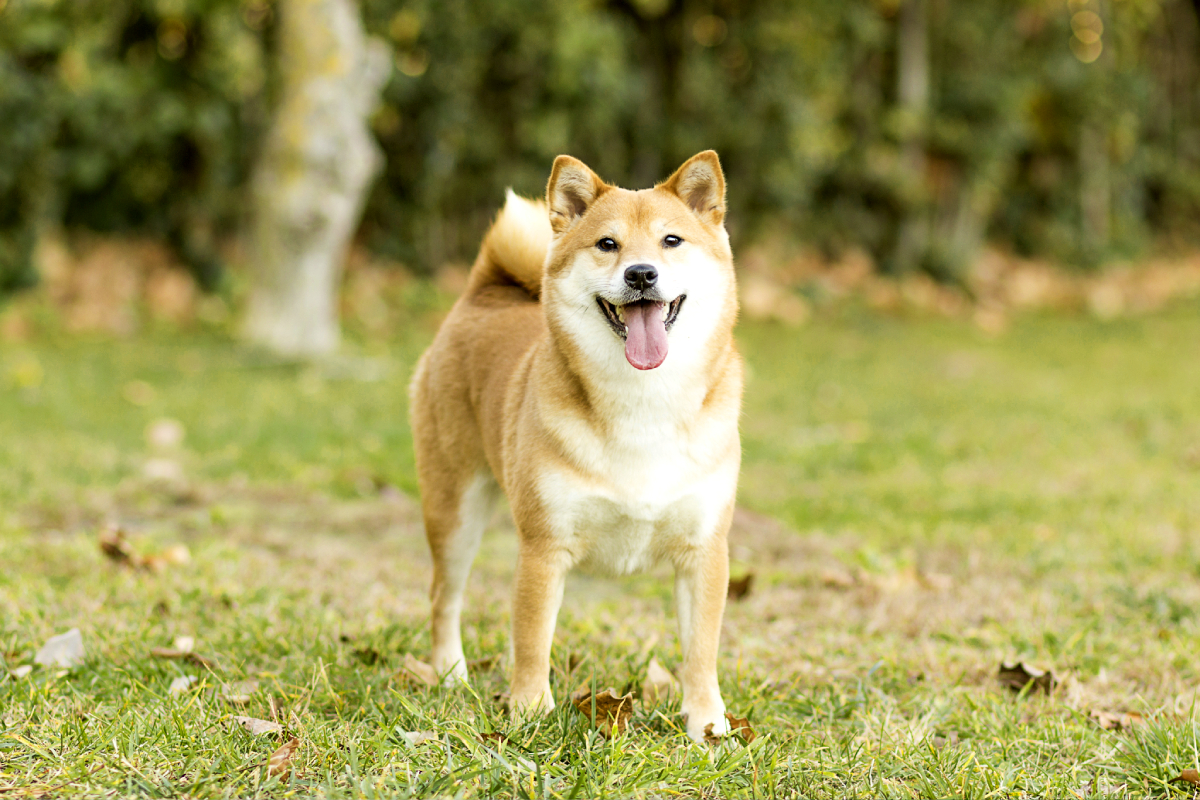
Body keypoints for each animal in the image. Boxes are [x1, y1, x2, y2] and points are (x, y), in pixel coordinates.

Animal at [410, 151, 739, 743]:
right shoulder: (545, 547)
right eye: (608, 243)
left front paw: (707, 725)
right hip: (454, 513)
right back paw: (450, 675)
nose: (641, 273)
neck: (642, 403)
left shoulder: (703, 550)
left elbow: (701, 651)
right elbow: (533, 640)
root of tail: (483, 294)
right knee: (444, 598)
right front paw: (529, 714)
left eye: (671, 240)